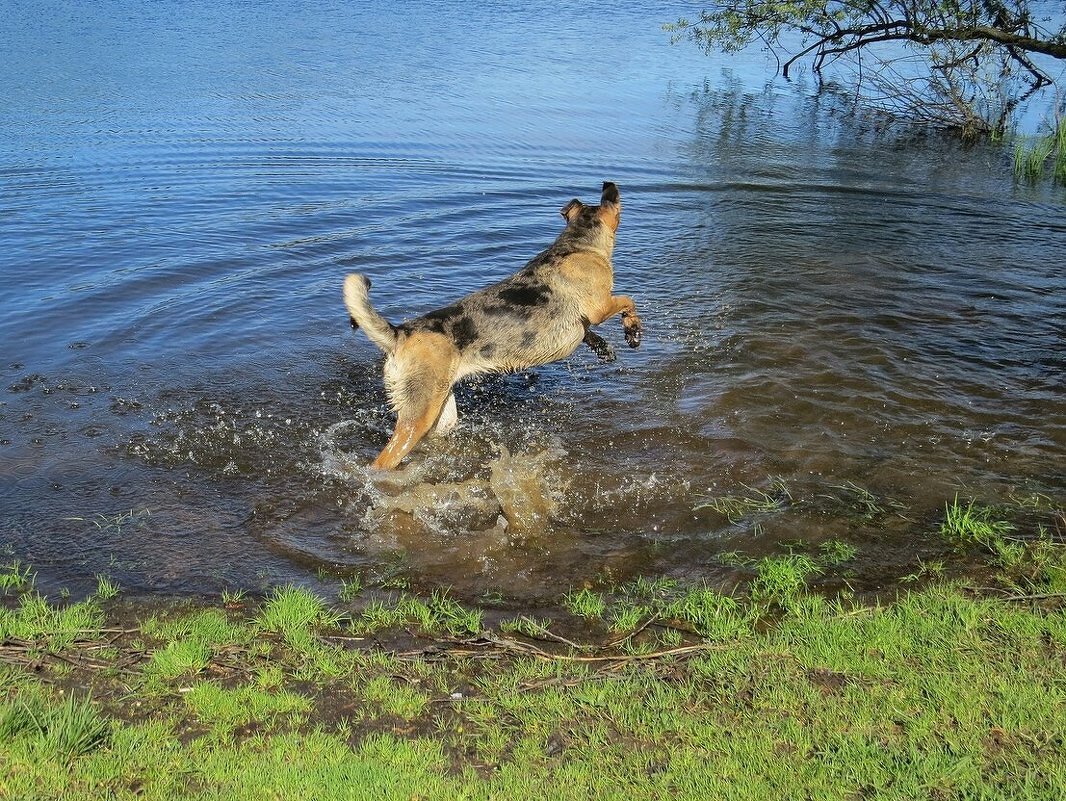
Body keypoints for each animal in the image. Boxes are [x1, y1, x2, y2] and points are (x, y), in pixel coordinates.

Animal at [343, 181, 639, 469]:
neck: (578, 244)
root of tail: (400, 334)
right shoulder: (600, 306)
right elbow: (627, 299)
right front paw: (633, 331)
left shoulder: (585, 320)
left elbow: (589, 331)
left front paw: (604, 348)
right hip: (419, 413)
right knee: (383, 461)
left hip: (441, 412)